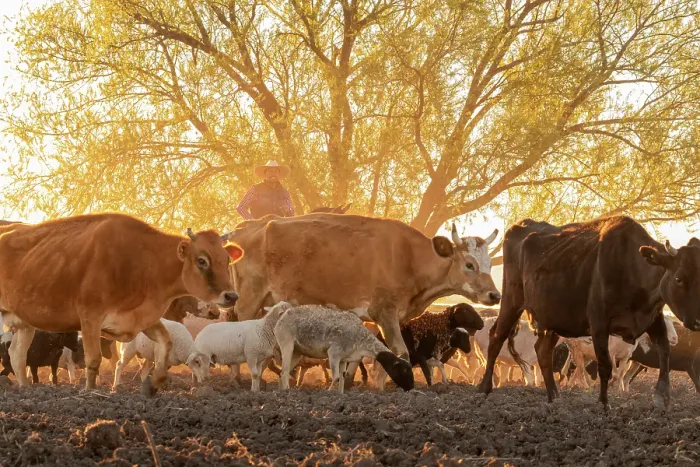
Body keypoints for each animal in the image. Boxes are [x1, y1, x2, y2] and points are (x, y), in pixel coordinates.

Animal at [0, 213, 243, 394]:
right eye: (202, 260)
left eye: (227, 259)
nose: (231, 296)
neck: (139, 263)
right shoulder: (90, 316)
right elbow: (93, 359)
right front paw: (89, 392)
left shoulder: (143, 318)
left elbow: (165, 344)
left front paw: (153, 384)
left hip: (24, 323)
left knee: (17, 354)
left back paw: (24, 388)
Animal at [223, 214, 501, 358]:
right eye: (469, 264)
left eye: (488, 263)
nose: (495, 295)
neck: (409, 257)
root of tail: (245, 230)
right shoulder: (384, 312)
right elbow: (400, 351)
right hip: (250, 298)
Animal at [478, 216, 700, 410]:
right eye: (679, 278)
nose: (697, 321)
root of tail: (520, 225)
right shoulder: (599, 323)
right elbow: (605, 365)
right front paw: (603, 404)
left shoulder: (652, 318)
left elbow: (664, 352)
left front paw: (662, 398)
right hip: (511, 299)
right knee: (496, 337)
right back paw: (484, 388)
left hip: (554, 317)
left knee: (543, 351)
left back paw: (553, 396)